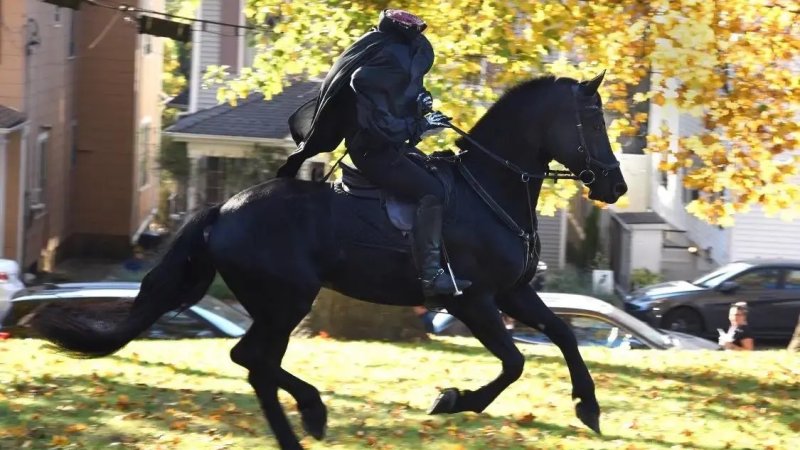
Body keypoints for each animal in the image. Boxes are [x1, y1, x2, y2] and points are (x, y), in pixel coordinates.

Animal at [31, 72, 628, 448]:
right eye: (593, 122)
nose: (617, 186)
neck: (489, 187)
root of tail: (223, 209)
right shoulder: (474, 300)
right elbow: (515, 362)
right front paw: (454, 400)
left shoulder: (513, 293)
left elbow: (565, 335)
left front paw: (589, 407)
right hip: (286, 300)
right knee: (254, 360)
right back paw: (311, 414)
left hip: (280, 304)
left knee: (253, 362)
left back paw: (306, 421)